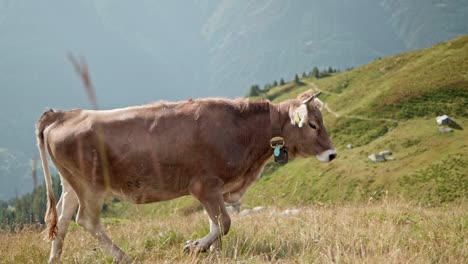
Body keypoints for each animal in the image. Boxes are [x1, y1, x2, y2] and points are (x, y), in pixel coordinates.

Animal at [36, 90, 336, 262]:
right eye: (312, 124)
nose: (332, 153)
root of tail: (63, 114)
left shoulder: (214, 190)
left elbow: (216, 223)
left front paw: (212, 252)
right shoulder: (205, 185)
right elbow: (224, 222)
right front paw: (195, 246)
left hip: (71, 184)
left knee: (62, 220)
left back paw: (54, 259)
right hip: (91, 186)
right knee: (87, 220)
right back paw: (122, 256)